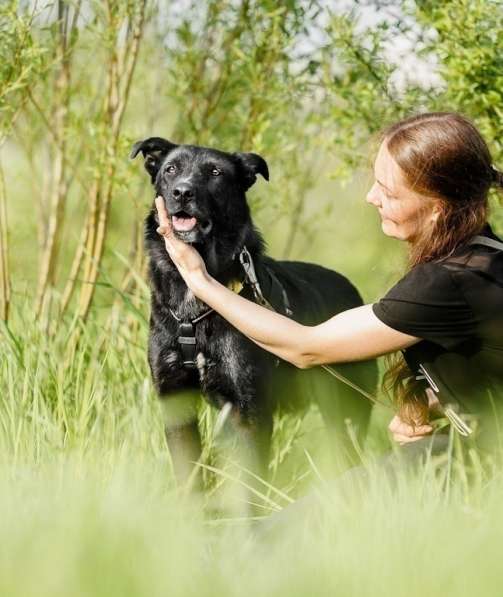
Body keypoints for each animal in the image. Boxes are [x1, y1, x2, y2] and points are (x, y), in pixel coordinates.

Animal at [132, 139, 376, 484]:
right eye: (170, 169)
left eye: (215, 173)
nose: (182, 192)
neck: (196, 307)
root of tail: (353, 292)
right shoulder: (176, 403)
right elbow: (189, 477)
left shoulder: (247, 411)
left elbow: (248, 483)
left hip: (346, 412)